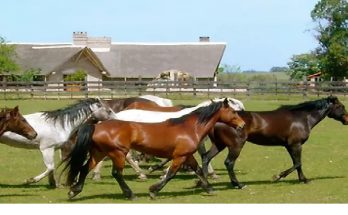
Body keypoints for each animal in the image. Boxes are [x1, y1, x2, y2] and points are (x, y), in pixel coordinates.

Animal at [64, 98, 246, 200]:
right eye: (233, 111)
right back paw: (131, 193)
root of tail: (97, 125)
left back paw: (75, 191)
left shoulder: (187, 155)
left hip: (99, 152)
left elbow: (199, 170)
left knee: (84, 168)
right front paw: (153, 190)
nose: (243, 124)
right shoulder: (180, 156)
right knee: (116, 173)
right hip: (118, 153)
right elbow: (171, 174)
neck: (190, 127)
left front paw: (209, 189)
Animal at [200, 95, 348, 188]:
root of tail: (217, 120)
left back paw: (203, 183)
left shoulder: (289, 146)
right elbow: (298, 163)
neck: (302, 118)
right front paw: (278, 176)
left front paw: (303, 179)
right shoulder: (296, 145)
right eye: (341, 106)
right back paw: (238, 184)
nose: (347, 120)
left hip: (219, 144)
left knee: (206, 157)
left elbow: (296, 163)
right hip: (236, 145)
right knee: (229, 163)